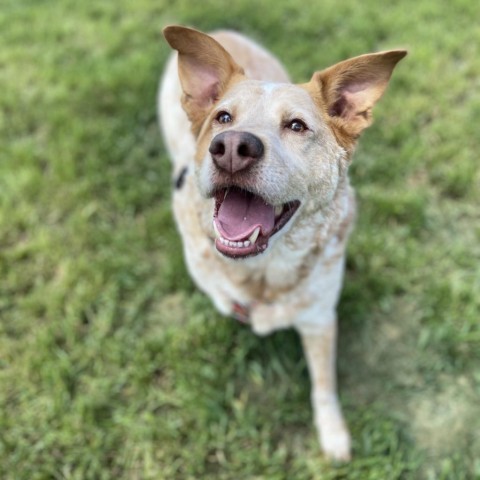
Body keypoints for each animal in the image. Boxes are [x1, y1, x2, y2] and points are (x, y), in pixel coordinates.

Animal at [159, 26, 406, 462]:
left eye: (296, 126)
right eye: (223, 118)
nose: (231, 148)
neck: (263, 273)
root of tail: (221, 28)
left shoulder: (320, 319)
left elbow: (324, 384)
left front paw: (333, 434)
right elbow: (222, 295)